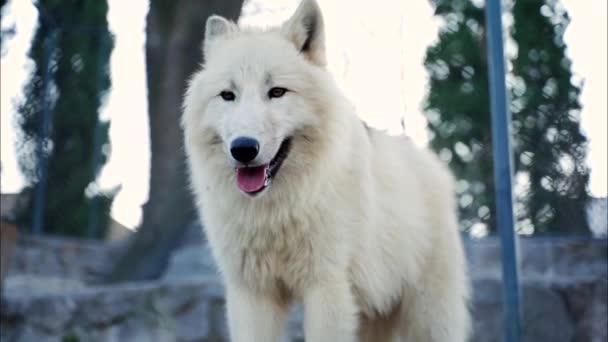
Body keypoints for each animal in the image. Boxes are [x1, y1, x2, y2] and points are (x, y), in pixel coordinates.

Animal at [182, 1, 470, 340]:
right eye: (228, 95)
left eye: (277, 92)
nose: (243, 148)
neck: (276, 212)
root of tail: (432, 164)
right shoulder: (251, 292)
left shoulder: (326, 286)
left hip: (427, 318)